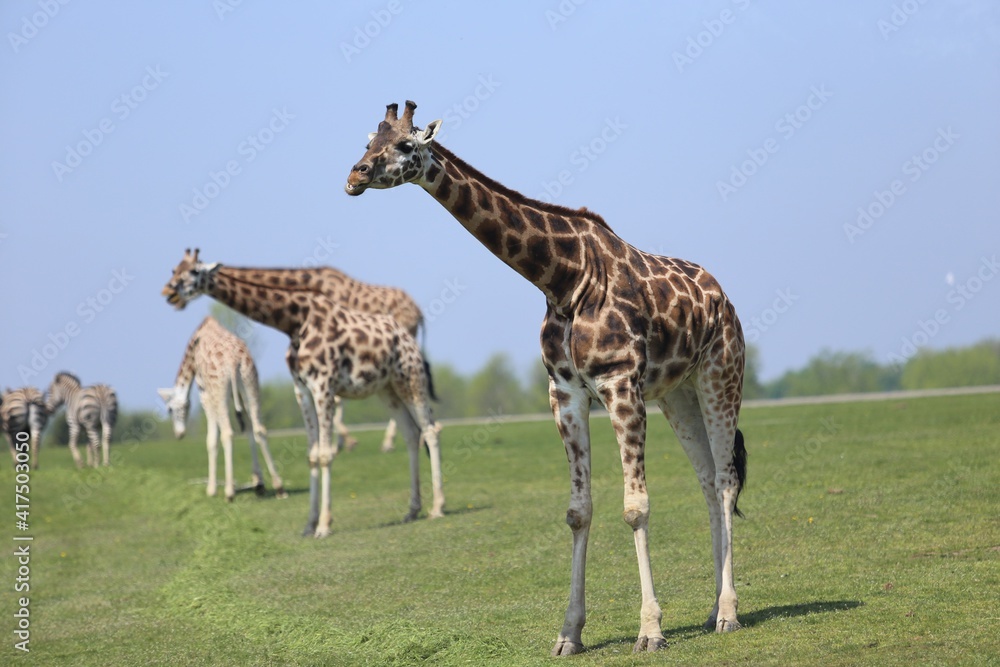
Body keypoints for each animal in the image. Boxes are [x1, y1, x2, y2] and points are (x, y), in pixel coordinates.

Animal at [158, 316, 286, 501]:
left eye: (169, 409)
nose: (179, 434)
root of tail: (233, 360)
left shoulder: (204, 392)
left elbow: (212, 439)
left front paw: (211, 490)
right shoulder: (237, 394)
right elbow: (248, 429)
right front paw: (258, 483)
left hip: (219, 389)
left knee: (227, 433)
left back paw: (229, 492)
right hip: (250, 381)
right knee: (259, 429)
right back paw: (279, 487)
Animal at [345, 101, 747, 655]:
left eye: (405, 145)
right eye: (368, 141)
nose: (355, 175)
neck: (563, 279)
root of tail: (723, 298)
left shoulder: (621, 384)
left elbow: (636, 507)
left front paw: (650, 630)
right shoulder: (566, 392)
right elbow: (578, 511)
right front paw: (568, 634)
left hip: (720, 375)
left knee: (727, 480)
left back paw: (729, 613)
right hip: (677, 394)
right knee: (708, 481)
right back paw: (711, 609)